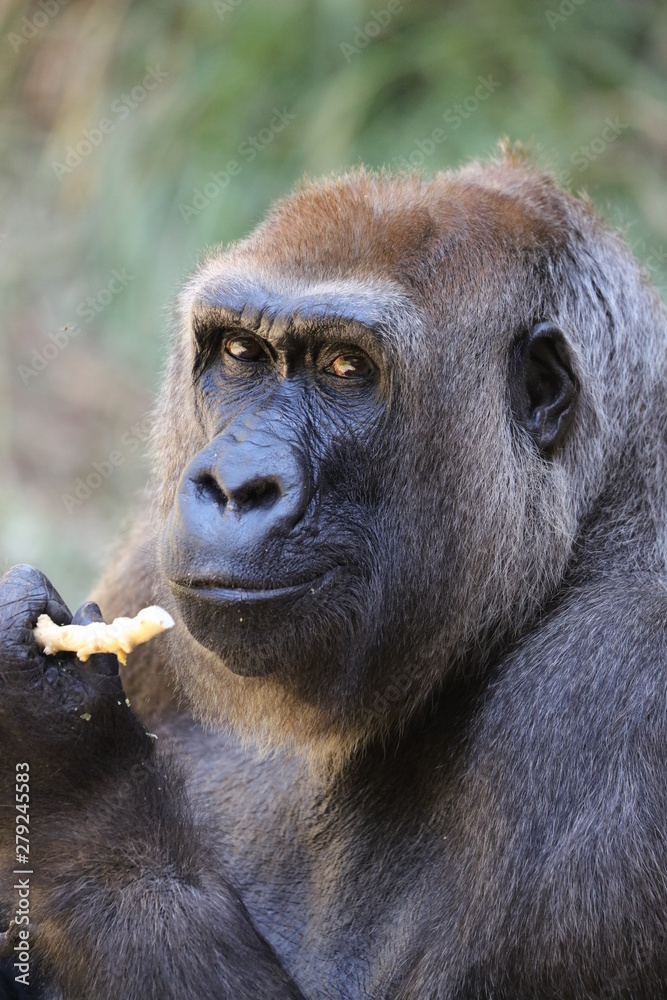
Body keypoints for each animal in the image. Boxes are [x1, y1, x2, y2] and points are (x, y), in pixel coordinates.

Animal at [0, 149, 666, 999]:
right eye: (240, 354)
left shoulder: (623, 676)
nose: (234, 485)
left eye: (345, 368)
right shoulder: (150, 564)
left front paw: (64, 755)